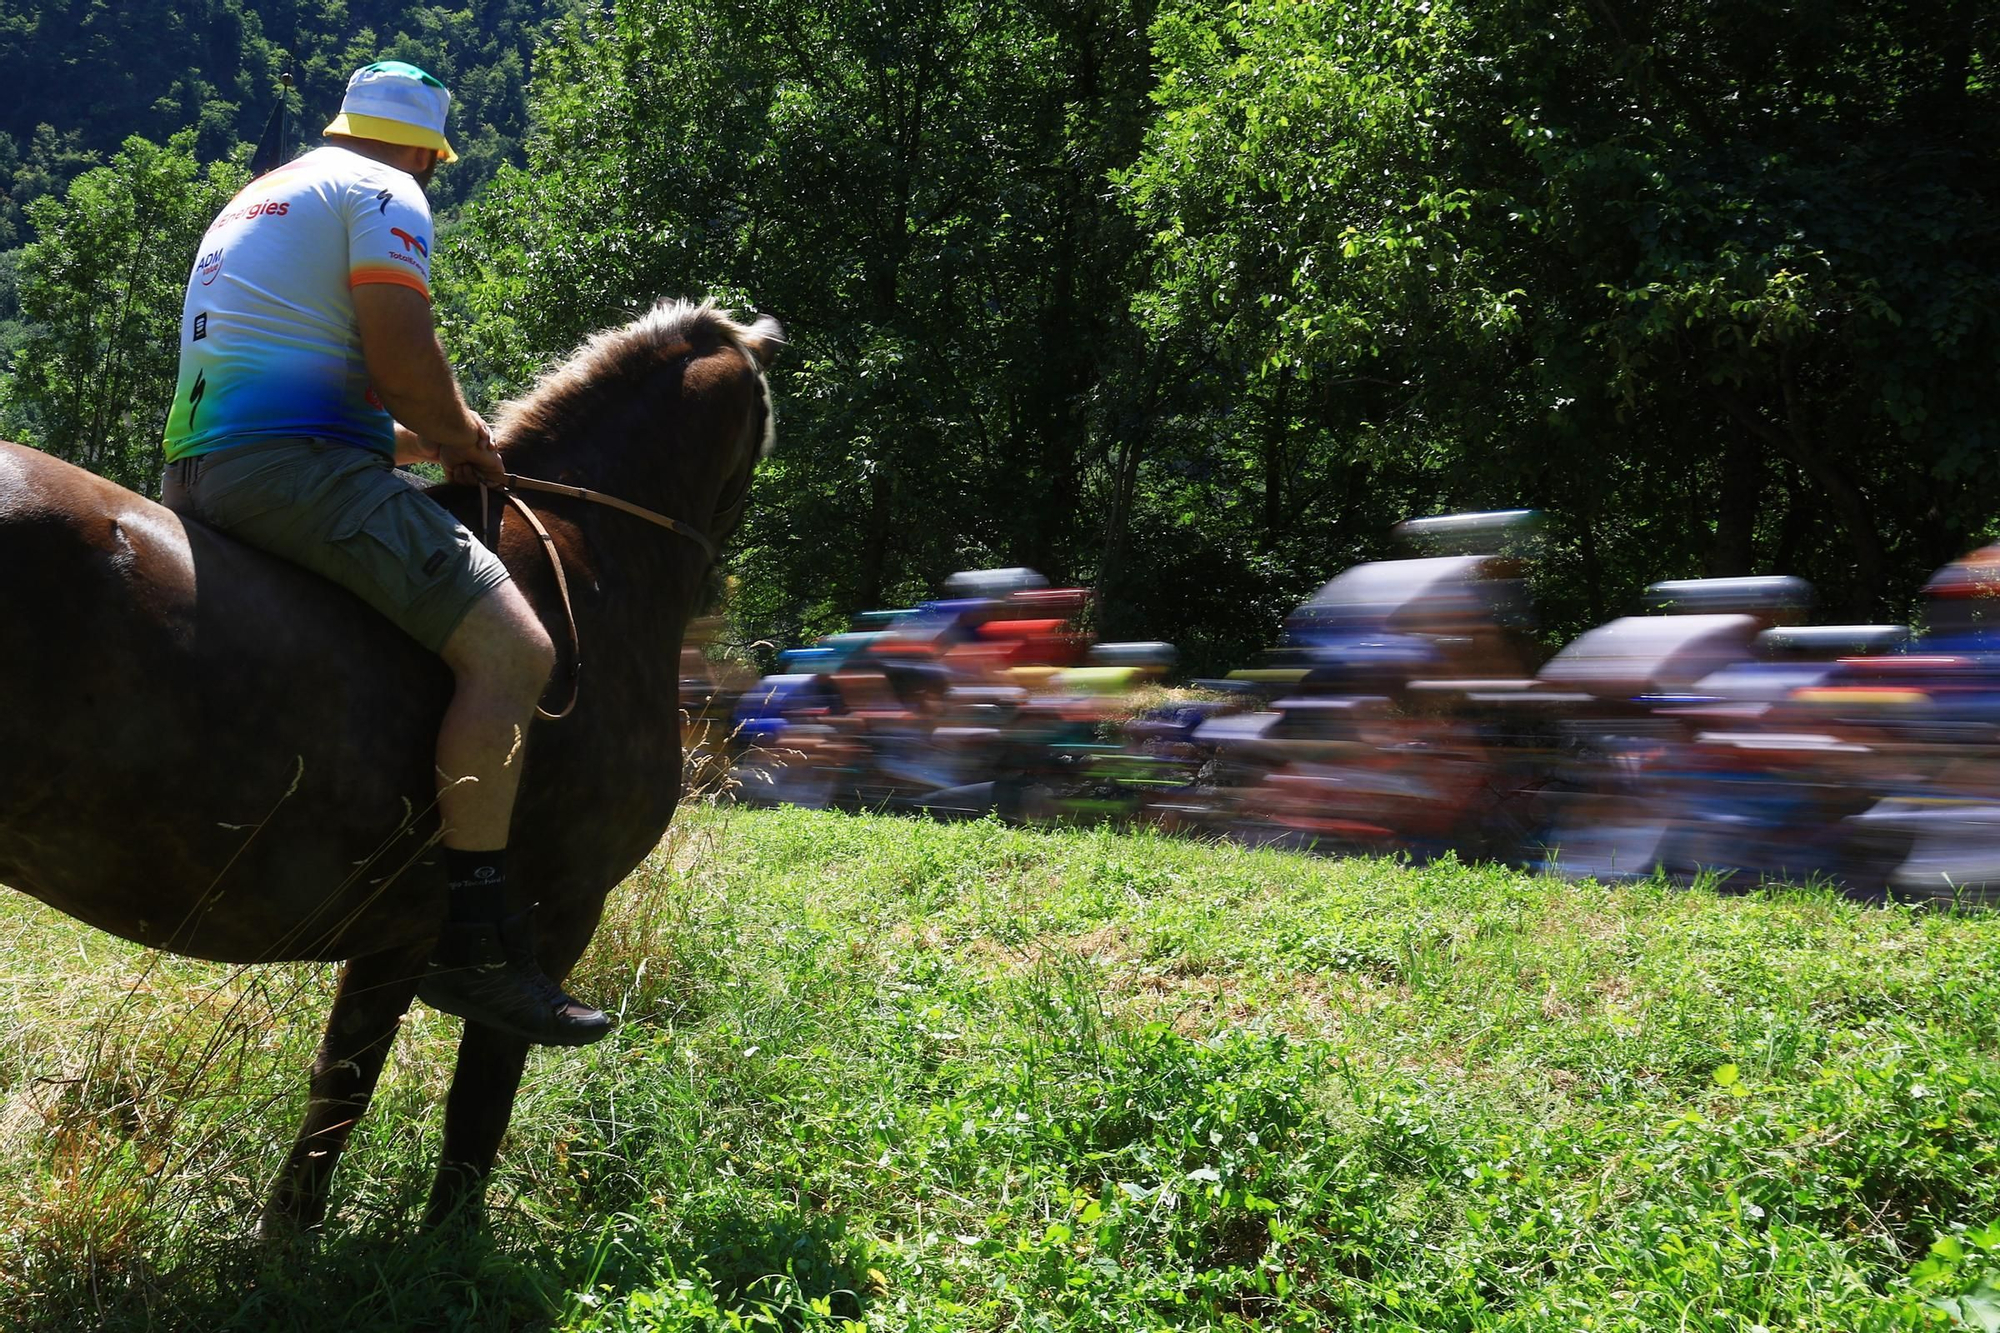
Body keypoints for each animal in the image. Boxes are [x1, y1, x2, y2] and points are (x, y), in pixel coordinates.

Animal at [0, 296, 780, 1232]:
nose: (723, 600)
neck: (588, 554)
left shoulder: (395, 933)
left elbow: (343, 1084)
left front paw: (293, 1233)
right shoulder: (560, 913)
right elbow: (482, 1088)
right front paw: (451, 1237)